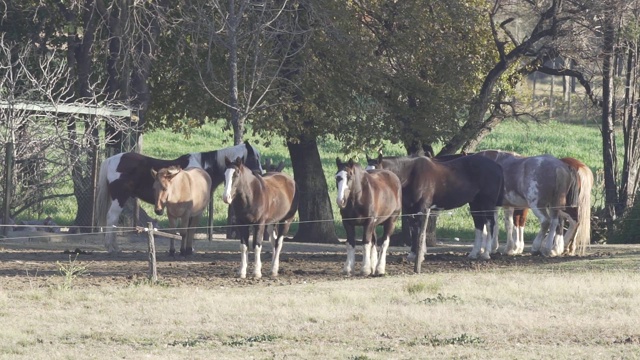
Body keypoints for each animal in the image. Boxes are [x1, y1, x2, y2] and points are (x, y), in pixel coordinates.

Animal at [93, 141, 262, 253]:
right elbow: (187, 228)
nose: (260, 173)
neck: (203, 169)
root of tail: (111, 160)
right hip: (119, 198)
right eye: (255, 157)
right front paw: (186, 249)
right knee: (112, 218)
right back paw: (112, 247)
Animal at [222, 148, 298, 280]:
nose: (226, 197)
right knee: (273, 241)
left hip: (286, 220)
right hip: (272, 223)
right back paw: (272, 268)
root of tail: (290, 180)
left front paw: (257, 272)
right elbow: (244, 246)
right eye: (225, 175)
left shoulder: (259, 224)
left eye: (236, 174)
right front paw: (242, 271)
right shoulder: (242, 224)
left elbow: (257, 245)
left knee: (278, 243)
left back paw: (274, 269)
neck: (251, 196)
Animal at [368, 153, 502, 272]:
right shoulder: (410, 210)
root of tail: (496, 165)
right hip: (475, 203)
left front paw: (420, 256)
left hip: (487, 203)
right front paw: (413, 254)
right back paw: (474, 253)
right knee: (479, 224)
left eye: (376, 171)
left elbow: (420, 231)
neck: (411, 175)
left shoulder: (422, 209)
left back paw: (486, 253)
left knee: (490, 224)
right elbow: (414, 231)